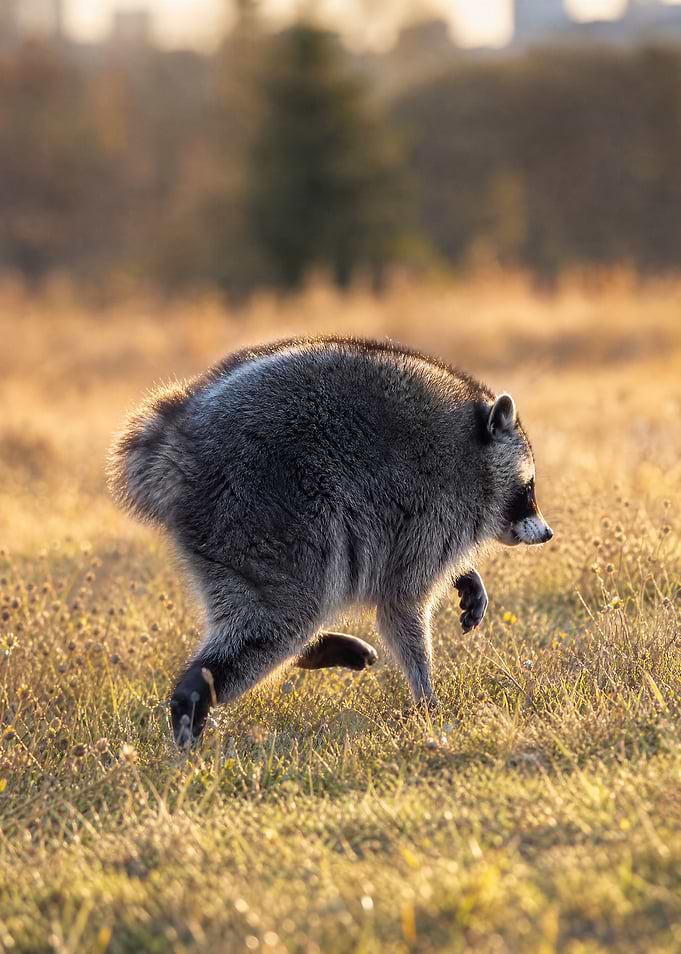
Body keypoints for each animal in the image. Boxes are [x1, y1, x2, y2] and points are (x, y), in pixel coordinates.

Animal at [108, 336, 552, 746]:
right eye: (529, 489)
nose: (548, 533)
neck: (473, 453)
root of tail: (177, 433)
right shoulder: (432, 514)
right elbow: (400, 604)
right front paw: (426, 696)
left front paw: (468, 577)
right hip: (265, 513)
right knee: (286, 614)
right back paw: (194, 695)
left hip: (229, 535)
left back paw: (309, 650)